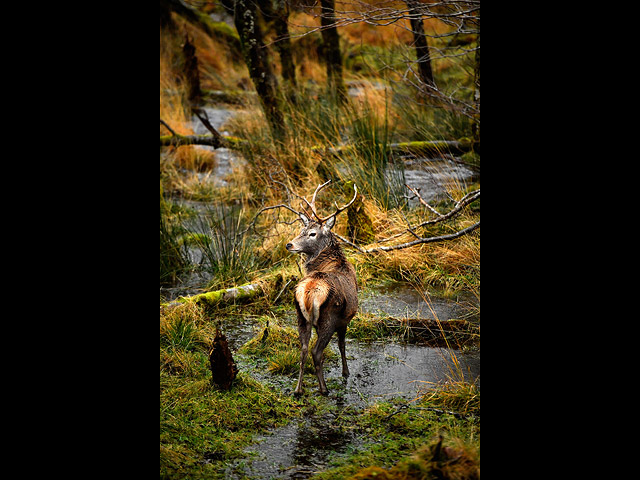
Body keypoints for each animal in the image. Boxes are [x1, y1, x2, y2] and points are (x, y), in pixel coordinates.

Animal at [284, 178, 360, 396]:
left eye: (311, 233)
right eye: (301, 231)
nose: (289, 244)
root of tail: (309, 293)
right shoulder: (345, 318)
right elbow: (342, 345)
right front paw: (345, 372)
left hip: (301, 317)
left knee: (302, 349)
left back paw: (298, 390)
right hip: (329, 318)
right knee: (316, 352)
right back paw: (324, 389)